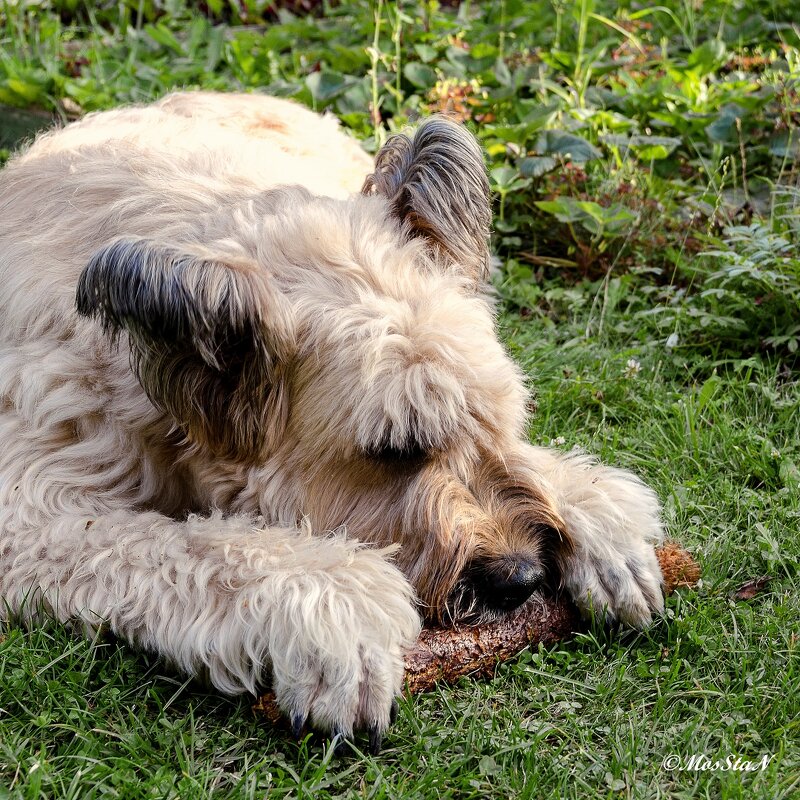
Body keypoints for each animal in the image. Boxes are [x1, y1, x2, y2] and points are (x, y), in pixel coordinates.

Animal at [0, 92, 664, 752]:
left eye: (498, 423)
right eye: (396, 450)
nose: (521, 577)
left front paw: (600, 517)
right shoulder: (36, 509)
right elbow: (195, 545)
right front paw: (343, 616)